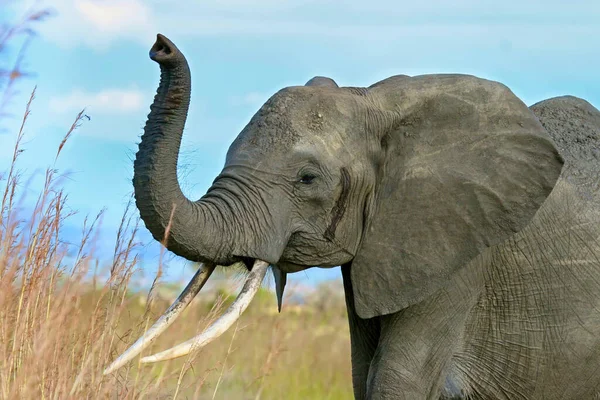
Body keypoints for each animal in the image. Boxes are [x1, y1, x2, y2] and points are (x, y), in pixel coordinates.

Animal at [105, 35, 600, 400]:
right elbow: (363, 375)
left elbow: (395, 381)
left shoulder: (459, 254)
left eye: (307, 178)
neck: (378, 104)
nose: (160, 46)